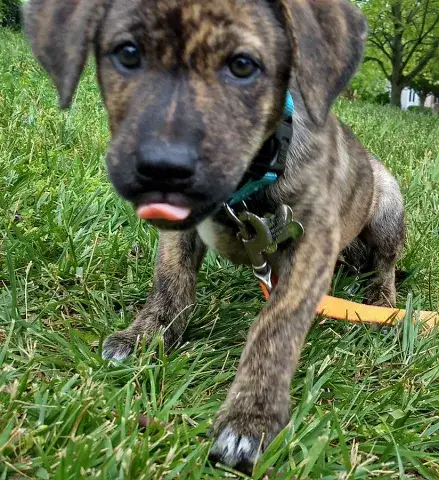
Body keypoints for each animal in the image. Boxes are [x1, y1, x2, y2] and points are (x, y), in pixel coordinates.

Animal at [25, 0, 404, 473]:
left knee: (386, 262)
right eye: (128, 54)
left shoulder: (312, 244)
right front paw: (145, 337)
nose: (163, 169)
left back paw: (382, 301)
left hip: (388, 205)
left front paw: (250, 417)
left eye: (242, 66)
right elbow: (170, 283)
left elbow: (275, 326)